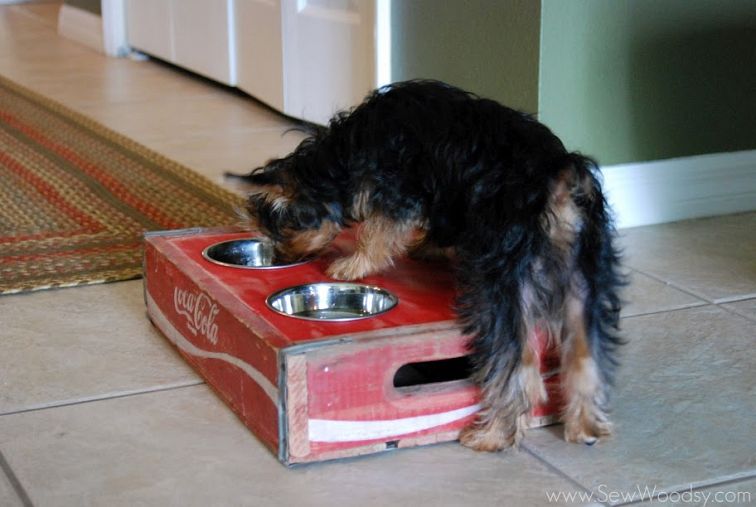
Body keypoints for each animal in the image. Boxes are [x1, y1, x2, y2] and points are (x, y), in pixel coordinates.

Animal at [233, 79, 624, 452]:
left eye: (279, 231)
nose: (280, 260)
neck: (343, 152)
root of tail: (557, 176)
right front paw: (428, 247)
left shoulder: (395, 187)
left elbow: (380, 230)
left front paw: (354, 264)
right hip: (583, 274)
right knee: (585, 353)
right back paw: (585, 428)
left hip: (504, 280)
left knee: (520, 367)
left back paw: (493, 436)